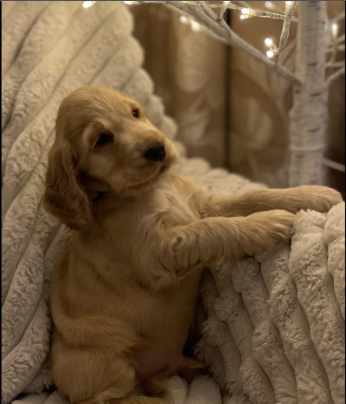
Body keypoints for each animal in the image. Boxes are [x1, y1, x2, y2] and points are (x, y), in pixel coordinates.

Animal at [44, 86, 342, 404]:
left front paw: (312, 193)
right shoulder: (156, 252)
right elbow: (211, 229)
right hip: (106, 357)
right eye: (101, 139)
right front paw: (266, 224)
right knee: (116, 398)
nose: (158, 149)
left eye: (135, 113)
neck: (154, 189)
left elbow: (252, 197)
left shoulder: (203, 206)